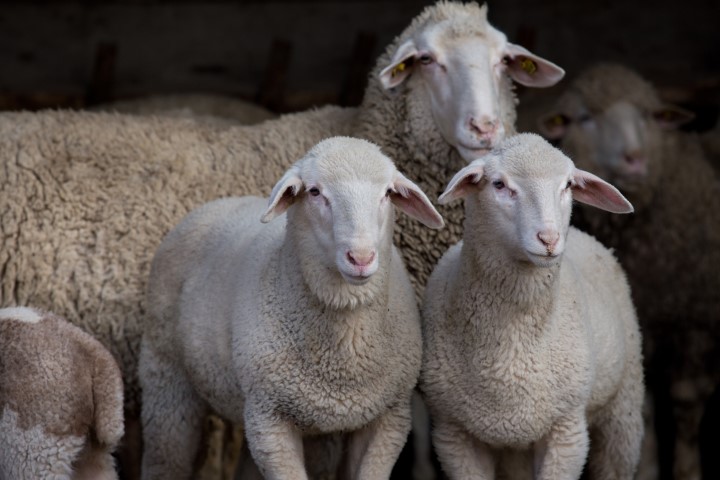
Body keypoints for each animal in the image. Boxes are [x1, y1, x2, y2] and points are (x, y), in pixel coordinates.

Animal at [138, 136, 444, 479]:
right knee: (165, 458)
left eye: (387, 193)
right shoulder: (269, 421)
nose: (361, 258)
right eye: (314, 192)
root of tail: (217, 203)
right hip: (166, 375)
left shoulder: (389, 418)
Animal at [420, 133, 644, 480]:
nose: (549, 239)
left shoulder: (567, 431)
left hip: (624, 406)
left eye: (567, 185)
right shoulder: (453, 434)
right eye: (498, 184)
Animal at [537, 63, 720, 480]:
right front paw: (647, 468)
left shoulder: (696, 322)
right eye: (585, 118)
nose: (635, 159)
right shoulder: (642, 323)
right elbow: (645, 405)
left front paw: (687, 470)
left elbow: (686, 403)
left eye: (648, 116)